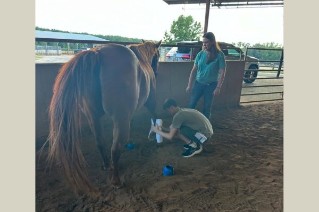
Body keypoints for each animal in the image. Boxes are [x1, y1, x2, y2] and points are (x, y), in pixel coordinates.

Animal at [47, 39, 162, 194]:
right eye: (158, 55)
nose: (156, 72)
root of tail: (98, 53)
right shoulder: (150, 101)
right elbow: (154, 115)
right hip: (119, 119)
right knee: (115, 148)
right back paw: (116, 181)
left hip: (94, 118)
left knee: (100, 142)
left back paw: (107, 166)